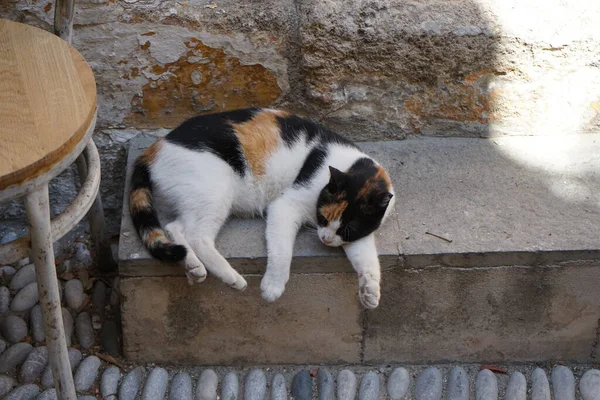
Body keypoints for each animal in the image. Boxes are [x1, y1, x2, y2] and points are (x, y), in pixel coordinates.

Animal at [129, 107, 394, 310]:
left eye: (348, 229)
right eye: (323, 217)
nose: (326, 239)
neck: (347, 163)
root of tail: (154, 148)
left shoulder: (358, 235)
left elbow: (367, 258)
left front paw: (370, 291)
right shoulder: (284, 207)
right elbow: (282, 251)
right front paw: (273, 286)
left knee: (175, 227)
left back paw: (193, 268)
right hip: (215, 190)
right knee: (196, 235)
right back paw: (231, 277)